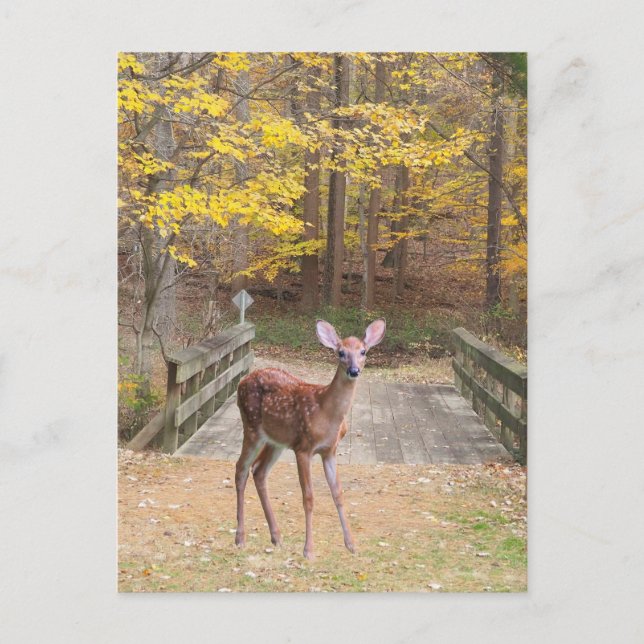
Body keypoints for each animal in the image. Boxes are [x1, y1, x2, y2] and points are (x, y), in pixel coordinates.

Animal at [234, 318, 386, 560]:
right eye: (341, 353)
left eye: (363, 351)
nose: (354, 370)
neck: (326, 413)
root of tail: (241, 381)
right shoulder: (303, 448)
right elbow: (308, 497)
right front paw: (309, 550)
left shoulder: (330, 451)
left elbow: (338, 494)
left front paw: (351, 544)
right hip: (251, 427)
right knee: (241, 469)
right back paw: (240, 538)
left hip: (275, 441)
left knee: (258, 471)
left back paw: (277, 537)